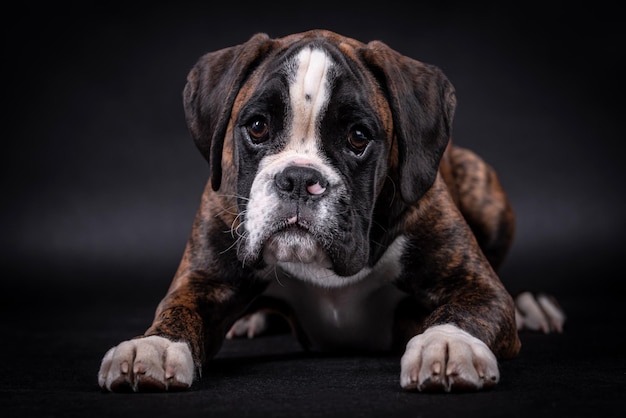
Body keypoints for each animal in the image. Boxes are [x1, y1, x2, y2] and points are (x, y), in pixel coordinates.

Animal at [98, 29, 564, 392]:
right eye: (257, 127)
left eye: (358, 136)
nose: (298, 179)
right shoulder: (205, 281)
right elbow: (178, 309)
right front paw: (155, 346)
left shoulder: (475, 285)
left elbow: (466, 311)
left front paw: (448, 344)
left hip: (487, 191)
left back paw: (533, 307)